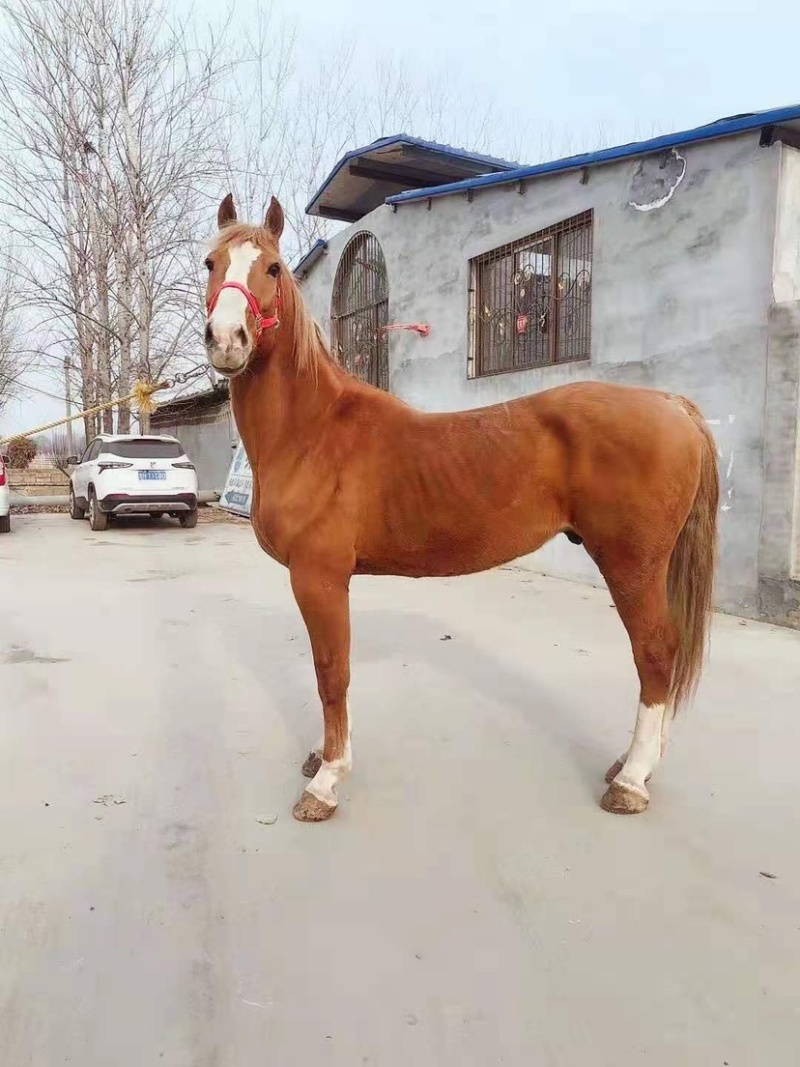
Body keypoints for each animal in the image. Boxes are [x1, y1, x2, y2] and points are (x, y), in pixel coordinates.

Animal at [202, 194, 719, 823]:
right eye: (211, 263)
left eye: (273, 269)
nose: (226, 340)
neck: (313, 432)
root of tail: (670, 404)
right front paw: (322, 758)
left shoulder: (319, 577)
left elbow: (332, 673)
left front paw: (326, 780)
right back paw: (634, 764)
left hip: (632, 564)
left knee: (655, 652)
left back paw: (632, 780)